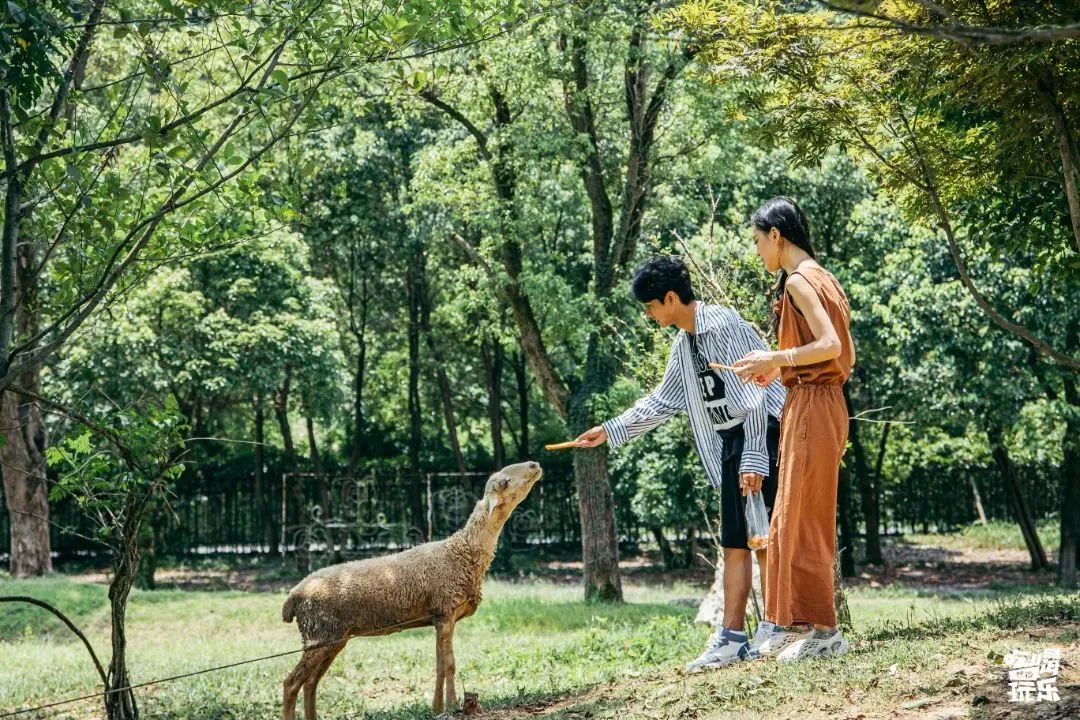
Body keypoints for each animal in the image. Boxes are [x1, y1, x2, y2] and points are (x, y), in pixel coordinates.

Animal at [280, 462, 544, 720]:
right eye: (504, 482)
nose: (534, 464)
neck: (463, 553)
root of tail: (292, 598)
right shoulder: (445, 612)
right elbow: (449, 664)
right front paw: (451, 705)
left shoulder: (441, 618)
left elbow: (441, 664)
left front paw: (438, 708)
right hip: (318, 634)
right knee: (291, 682)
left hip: (333, 638)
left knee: (310, 682)